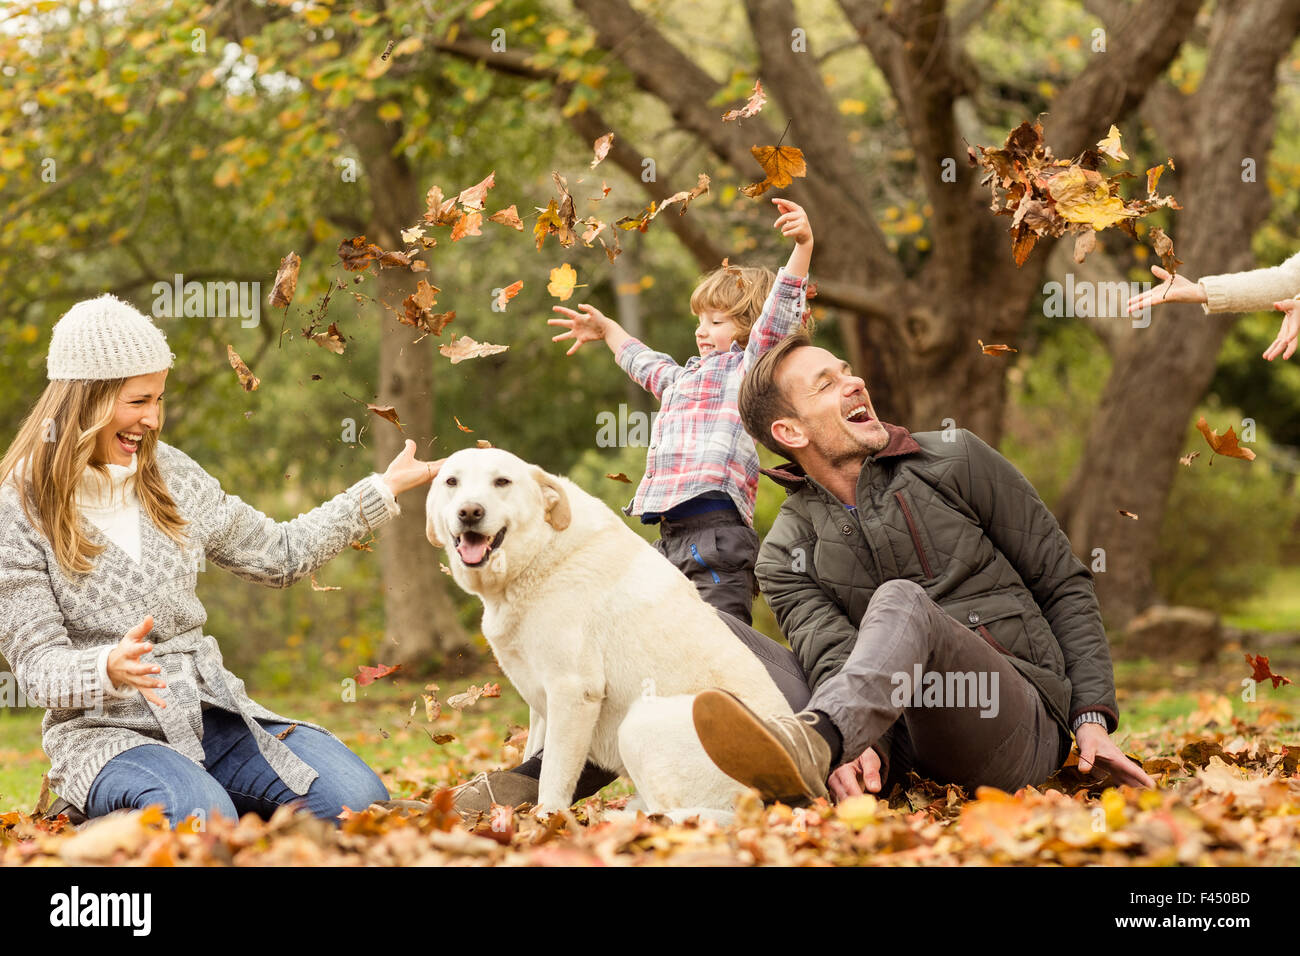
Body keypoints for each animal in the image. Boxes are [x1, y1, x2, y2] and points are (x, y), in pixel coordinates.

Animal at [426, 447, 790, 816]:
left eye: (502, 482)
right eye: (451, 482)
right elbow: (535, 753)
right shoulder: (539, 694)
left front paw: (544, 821)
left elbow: (553, 774)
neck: (539, 554)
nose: (470, 512)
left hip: (641, 723)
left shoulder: (572, 690)